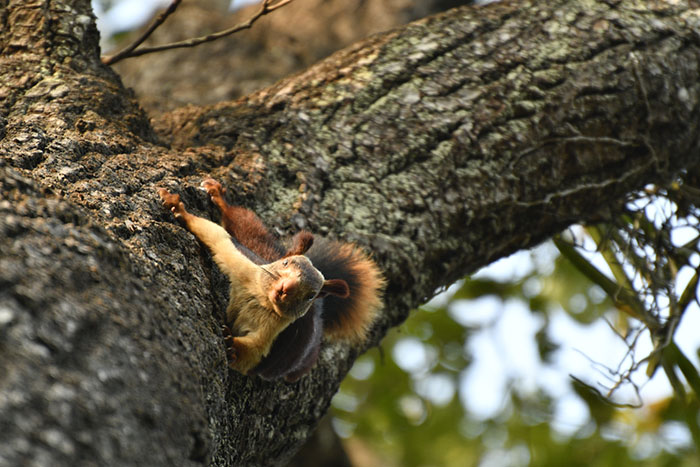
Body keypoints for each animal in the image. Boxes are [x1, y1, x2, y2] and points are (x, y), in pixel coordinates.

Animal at [158, 178, 384, 381]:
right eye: (286, 263)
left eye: (310, 295)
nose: (286, 288)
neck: (262, 299)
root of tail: (317, 312)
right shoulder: (245, 265)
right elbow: (217, 235)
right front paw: (177, 207)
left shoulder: (274, 336)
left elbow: (252, 356)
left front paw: (232, 346)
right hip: (257, 248)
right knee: (244, 223)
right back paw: (219, 196)